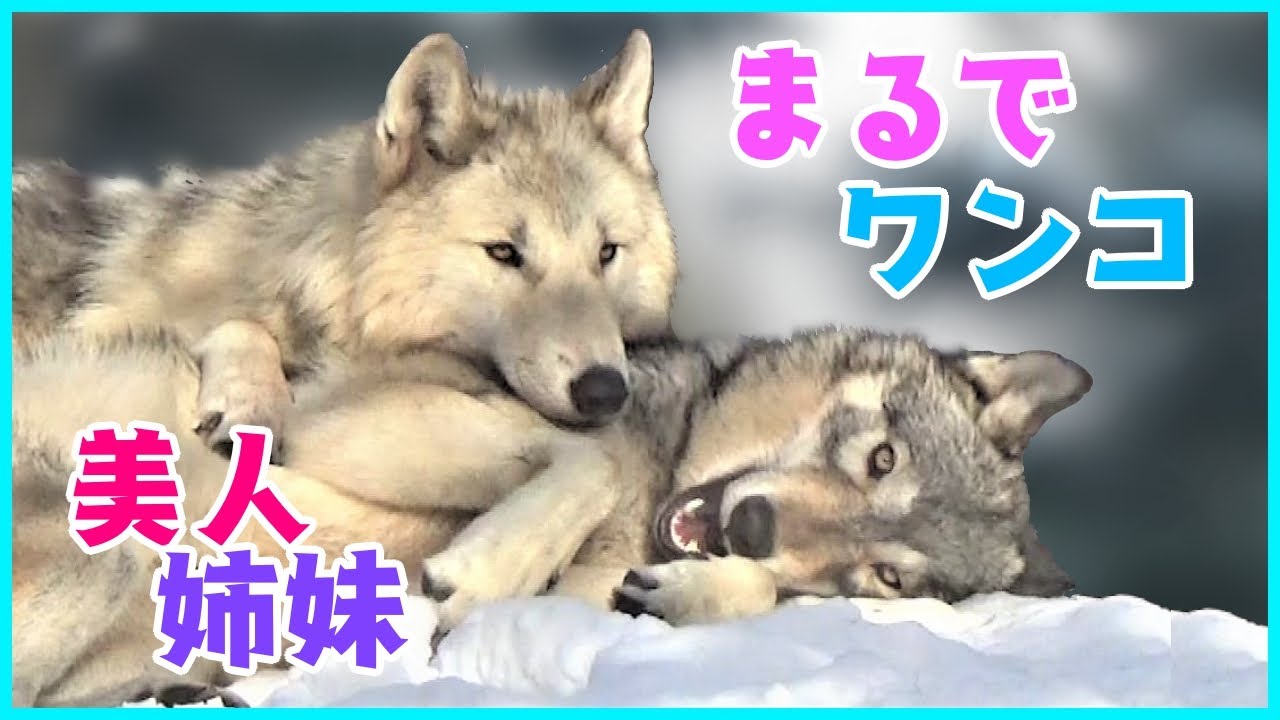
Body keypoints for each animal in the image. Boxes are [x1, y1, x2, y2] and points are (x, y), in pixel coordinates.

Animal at [11, 29, 676, 458]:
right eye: (504, 252)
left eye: (607, 253)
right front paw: (252, 404)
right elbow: (237, 327)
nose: (603, 391)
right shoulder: (100, 327)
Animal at [13, 325, 1088, 706]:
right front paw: (479, 567)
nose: (750, 532)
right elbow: (592, 458)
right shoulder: (340, 424)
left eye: (888, 578)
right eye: (880, 459)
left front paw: (691, 590)